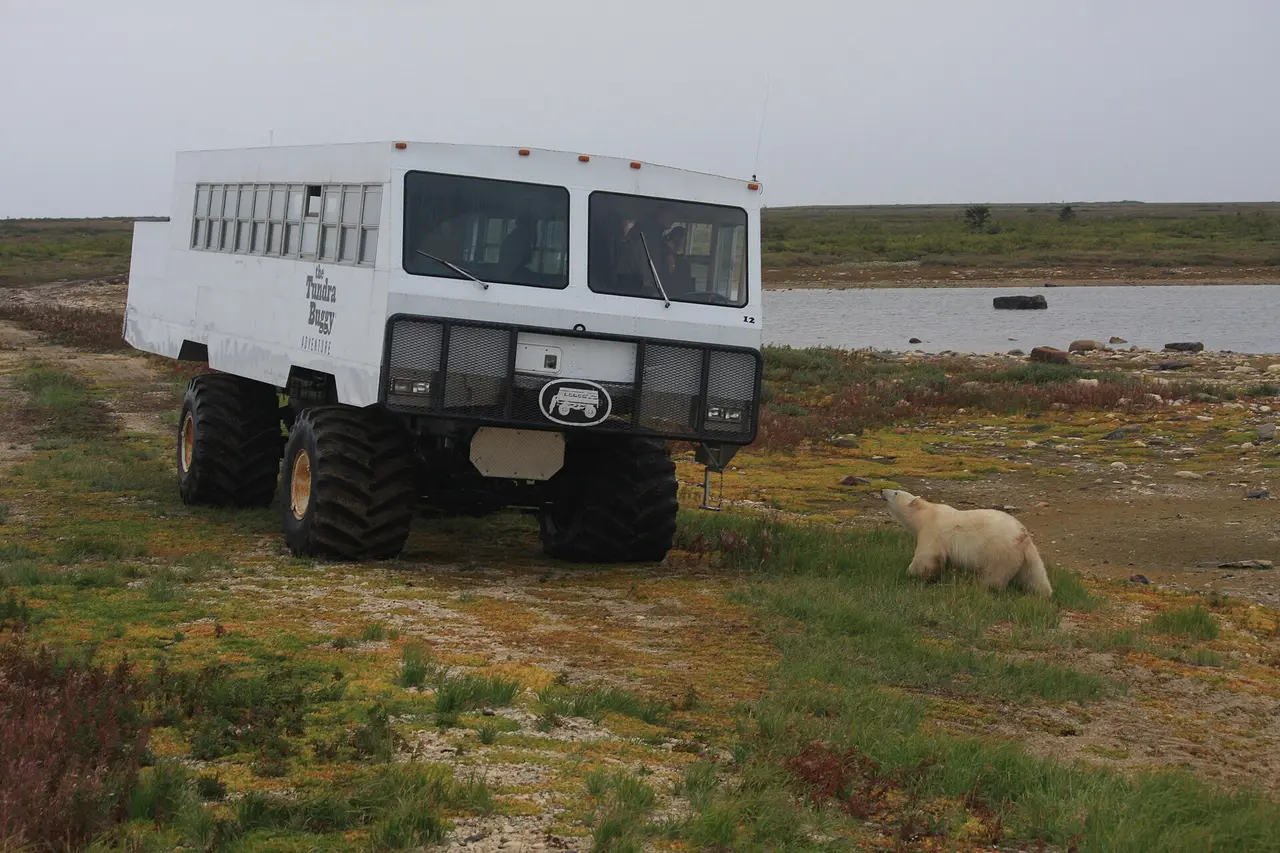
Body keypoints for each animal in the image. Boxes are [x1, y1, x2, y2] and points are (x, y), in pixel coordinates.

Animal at [880, 489, 1053, 597]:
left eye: (895, 492)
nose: (881, 490)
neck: (926, 514)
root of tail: (1022, 536)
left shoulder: (932, 532)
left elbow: (926, 557)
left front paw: (910, 573)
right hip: (1028, 557)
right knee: (1036, 575)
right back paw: (1044, 594)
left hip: (999, 553)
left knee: (993, 576)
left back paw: (981, 588)